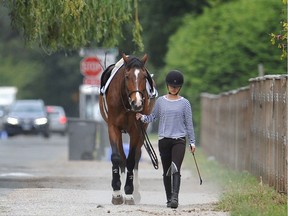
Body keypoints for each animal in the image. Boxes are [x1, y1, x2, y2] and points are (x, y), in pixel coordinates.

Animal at [100, 53, 156, 205]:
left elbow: (132, 160)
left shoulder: (136, 130)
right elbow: (116, 157)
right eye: (127, 76)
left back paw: (135, 191)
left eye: (144, 76)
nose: (137, 103)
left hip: (142, 131)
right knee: (122, 157)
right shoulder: (113, 127)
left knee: (136, 157)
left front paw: (130, 192)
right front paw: (117, 192)